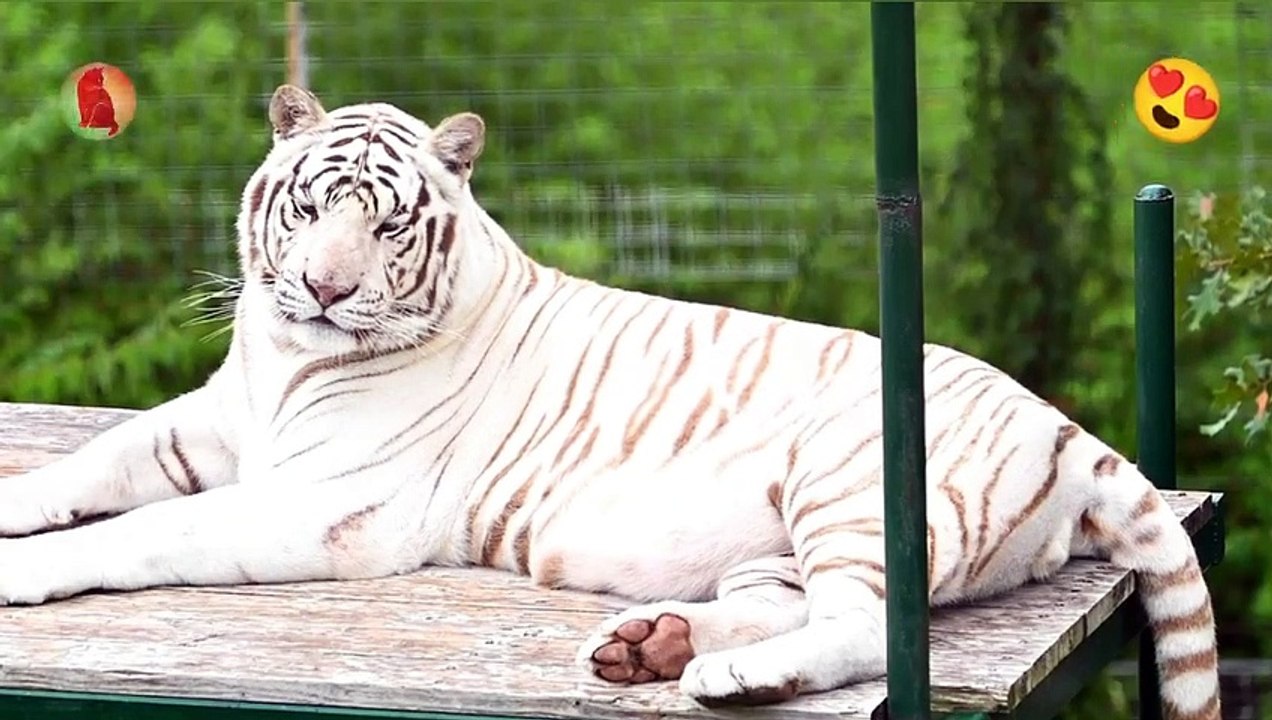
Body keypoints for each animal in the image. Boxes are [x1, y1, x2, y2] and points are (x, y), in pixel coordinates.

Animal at [0, 85, 1219, 719]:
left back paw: (725, 676)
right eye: (307, 209)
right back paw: (651, 647)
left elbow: (150, 530)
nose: (327, 289)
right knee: (792, 603)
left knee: (868, 625)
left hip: (852, 483)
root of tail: (1066, 428)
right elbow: (93, 464)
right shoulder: (212, 424)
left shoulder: (329, 502)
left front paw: (25, 573)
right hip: (784, 537)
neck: (287, 359)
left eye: (386, 225)